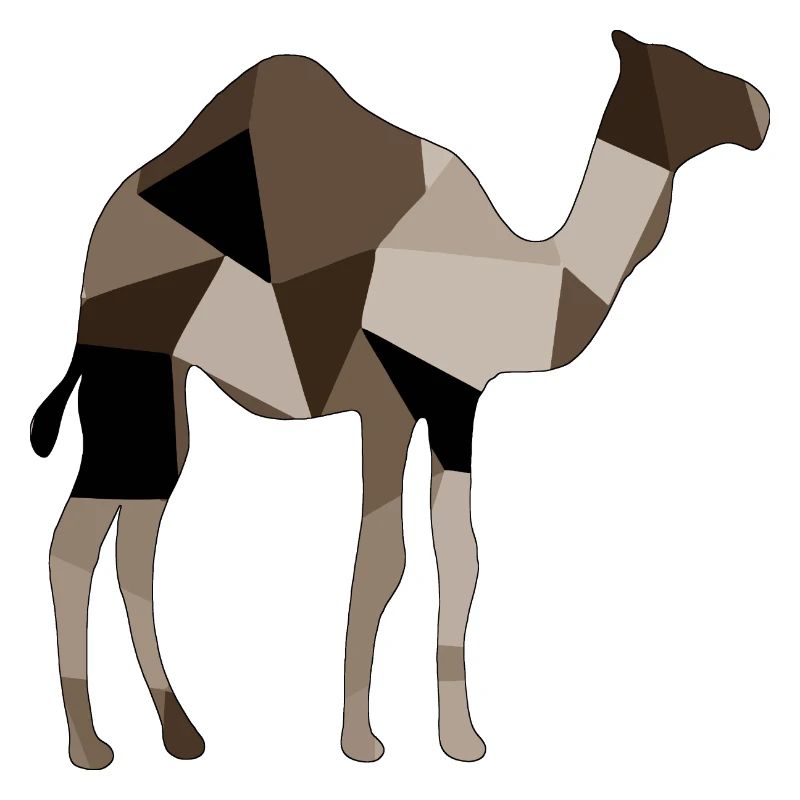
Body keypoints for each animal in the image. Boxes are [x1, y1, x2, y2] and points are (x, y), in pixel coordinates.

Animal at [31, 30, 769, 768]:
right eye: (687, 72)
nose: (761, 108)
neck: (517, 277)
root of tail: (97, 257)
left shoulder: (421, 405)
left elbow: (423, 557)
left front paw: (411, 736)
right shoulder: (422, 399)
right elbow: (420, 557)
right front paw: (409, 740)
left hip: (161, 388)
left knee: (136, 537)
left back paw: (179, 733)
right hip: (131, 367)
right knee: (77, 541)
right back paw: (89, 745)